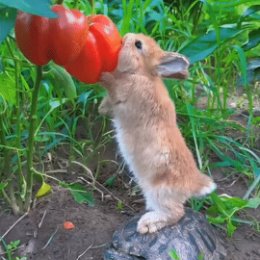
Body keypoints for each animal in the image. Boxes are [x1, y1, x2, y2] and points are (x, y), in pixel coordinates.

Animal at [98, 32, 216, 234]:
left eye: (138, 45)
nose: (127, 36)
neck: (143, 73)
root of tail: (195, 184)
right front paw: (101, 108)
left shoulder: (126, 89)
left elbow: (113, 84)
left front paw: (102, 75)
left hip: (159, 193)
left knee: (176, 213)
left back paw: (146, 225)